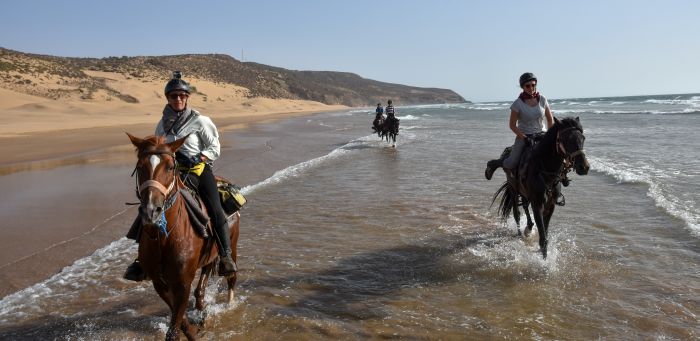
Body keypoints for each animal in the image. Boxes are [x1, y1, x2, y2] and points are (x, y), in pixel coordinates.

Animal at [124, 133, 237, 340]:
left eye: (170, 167)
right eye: (140, 166)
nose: (151, 211)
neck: (164, 239)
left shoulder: (183, 282)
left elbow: (174, 327)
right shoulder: (159, 283)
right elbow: (179, 318)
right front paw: (192, 330)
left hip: (232, 245)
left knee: (231, 277)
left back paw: (230, 305)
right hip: (209, 257)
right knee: (201, 287)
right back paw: (201, 311)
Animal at [492, 117, 592, 258]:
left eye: (583, 138)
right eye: (566, 139)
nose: (584, 167)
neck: (545, 170)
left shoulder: (550, 205)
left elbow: (545, 230)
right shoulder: (538, 203)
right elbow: (543, 238)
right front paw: (544, 261)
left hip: (524, 193)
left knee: (525, 205)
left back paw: (528, 228)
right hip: (513, 189)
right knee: (517, 213)